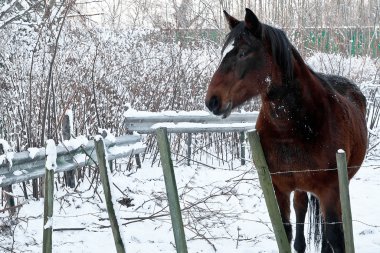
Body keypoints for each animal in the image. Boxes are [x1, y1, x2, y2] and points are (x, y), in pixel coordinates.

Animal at [205, 7, 368, 253]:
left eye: (243, 53)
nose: (212, 101)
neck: (292, 128)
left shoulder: (331, 191)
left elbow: (334, 237)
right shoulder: (278, 188)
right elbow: (286, 232)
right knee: (301, 211)